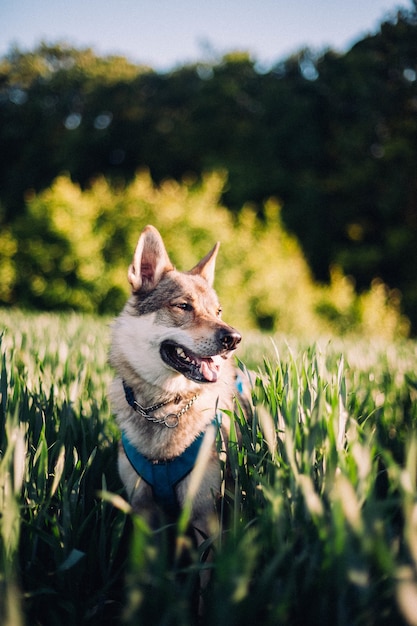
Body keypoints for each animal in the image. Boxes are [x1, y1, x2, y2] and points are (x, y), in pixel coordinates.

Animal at [109, 225, 249, 540]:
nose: (234, 339)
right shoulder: (143, 511)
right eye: (183, 306)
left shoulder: (204, 516)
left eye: (218, 311)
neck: (165, 408)